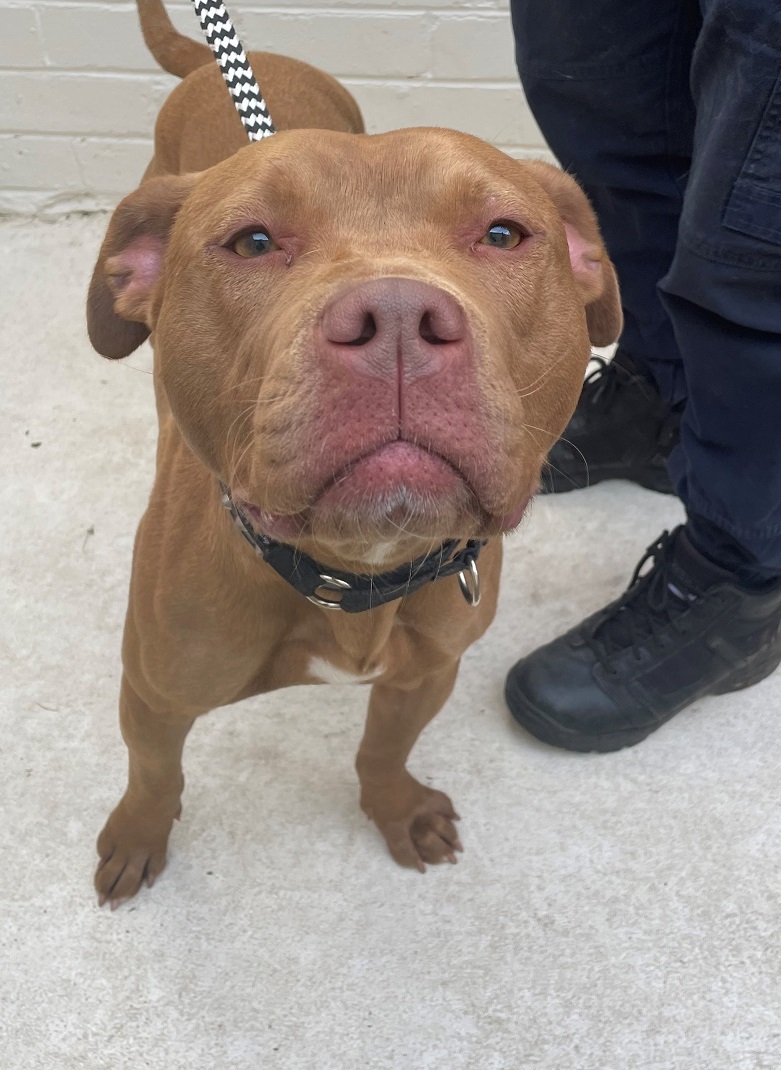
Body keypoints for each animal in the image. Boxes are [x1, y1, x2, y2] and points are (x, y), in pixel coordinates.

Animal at [87, 0, 622, 907]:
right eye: (253, 242)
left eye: (502, 233)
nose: (399, 318)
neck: (354, 571)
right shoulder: (154, 691)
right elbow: (155, 772)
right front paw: (137, 836)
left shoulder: (426, 673)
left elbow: (383, 746)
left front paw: (396, 810)